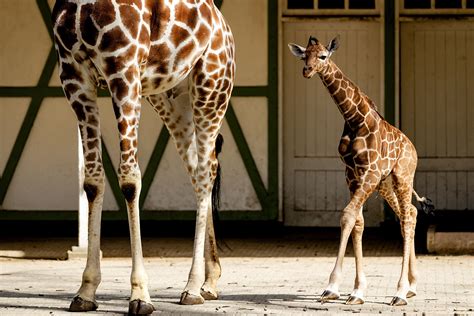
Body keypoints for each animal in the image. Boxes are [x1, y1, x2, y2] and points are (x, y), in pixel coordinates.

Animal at [52, 0, 235, 314]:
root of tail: (224, 26)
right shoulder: (74, 76)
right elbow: (92, 181)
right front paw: (85, 290)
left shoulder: (123, 70)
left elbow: (129, 180)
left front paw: (140, 295)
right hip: (170, 97)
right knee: (200, 169)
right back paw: (209, 282)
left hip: (212, 88)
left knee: (205, 174)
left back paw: (192, 287)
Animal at [286, 36, 436, 306]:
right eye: (305, 56)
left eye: (323, 56)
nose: (307, 71)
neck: (355, 119)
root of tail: (413, 149)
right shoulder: (352, 174)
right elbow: (357, 221)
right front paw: (356, 290)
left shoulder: (370, 172)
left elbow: (347, 215)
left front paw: (332, 286)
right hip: (386, 185)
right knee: (408, 212)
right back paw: (412, 285)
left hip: (402, 176)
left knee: (408, 217)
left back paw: (400, 292)